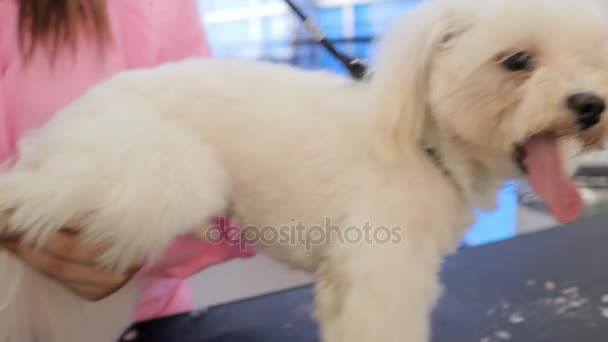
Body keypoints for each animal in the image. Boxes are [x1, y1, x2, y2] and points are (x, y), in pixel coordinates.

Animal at [1, 0, 608, 340]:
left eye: (595, 58)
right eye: (516, 62)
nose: (590, 104)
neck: (425, 144)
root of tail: (77, 111)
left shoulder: (347, 281)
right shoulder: (384, 274)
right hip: (163, 171)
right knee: (30, 196)